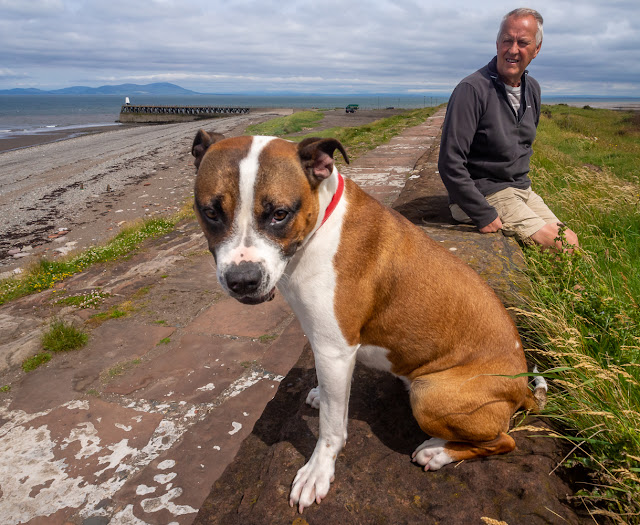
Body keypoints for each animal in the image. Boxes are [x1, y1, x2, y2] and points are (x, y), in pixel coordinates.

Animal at [190, 131, 544, 512]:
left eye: (280, 214)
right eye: (211, 212)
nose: (243, 280)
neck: (319, 226)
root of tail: (522, 388)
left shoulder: (333, 349)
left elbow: (331, 427)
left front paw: (318, 471)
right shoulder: (328, 347)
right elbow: (331, 395)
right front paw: (321, 394)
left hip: (430, 394)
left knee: (504, 441)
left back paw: (438, 452)